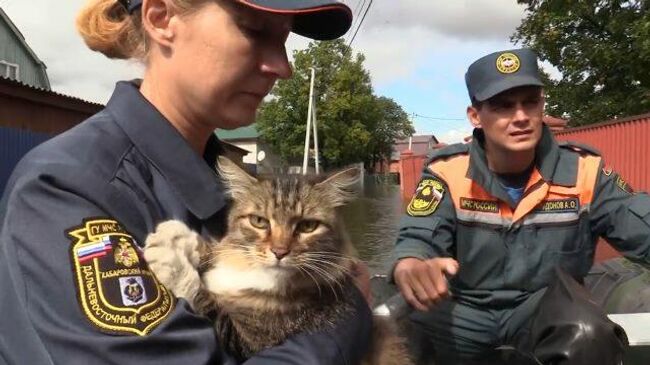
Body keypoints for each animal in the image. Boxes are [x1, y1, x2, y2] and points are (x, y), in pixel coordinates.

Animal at [144, 155, 410, 362]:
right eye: (259, 221)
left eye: (308, 226)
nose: (279, 252)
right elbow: (214, 246)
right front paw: (178, 236)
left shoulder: (251, 341)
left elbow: (202, 296)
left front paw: (170, 259)